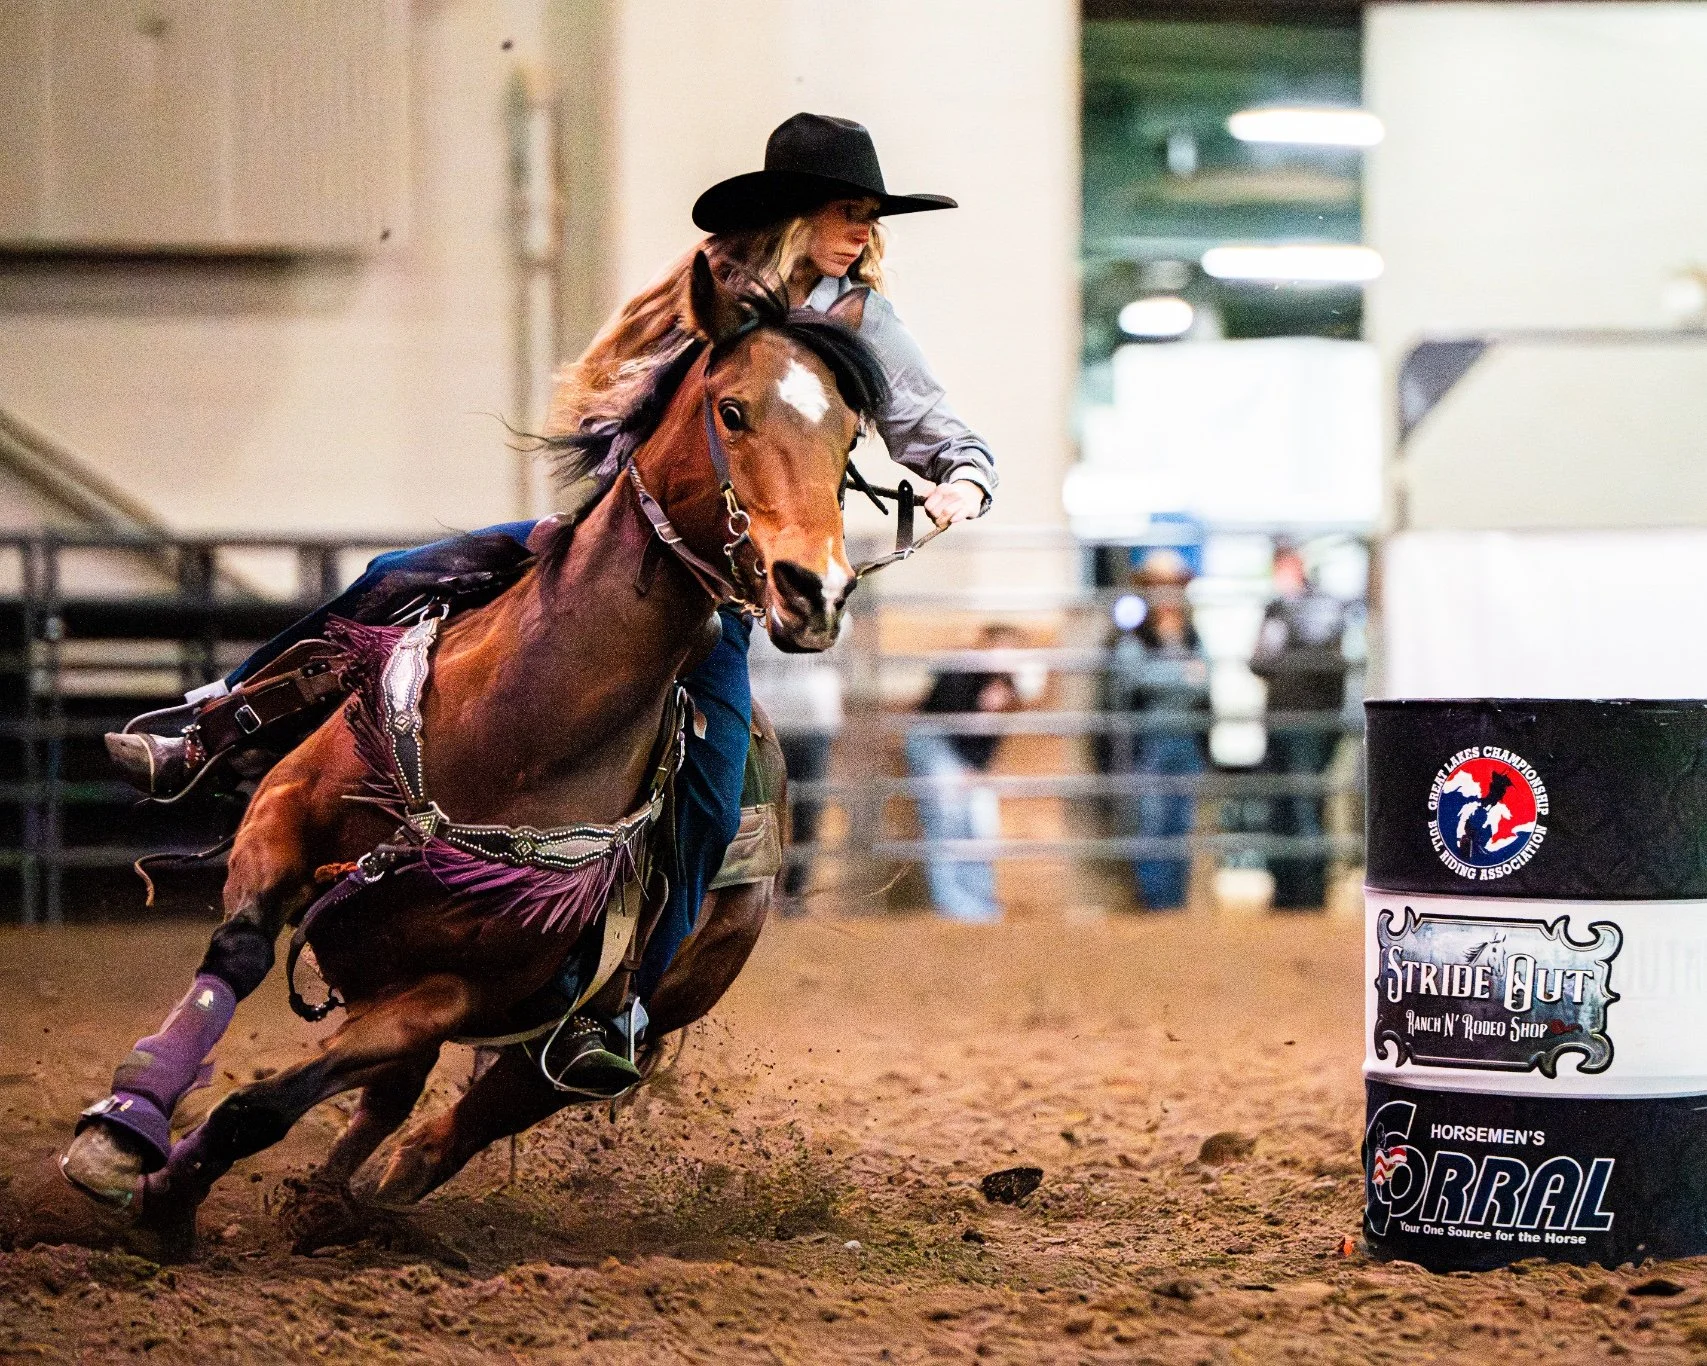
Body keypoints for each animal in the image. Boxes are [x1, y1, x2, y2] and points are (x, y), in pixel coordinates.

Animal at [60, 254, 884, 1256]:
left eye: (848, 436)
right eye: (732, 410)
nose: (817, 590)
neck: (516, 733)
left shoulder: (454, 991)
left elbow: (266, 1106)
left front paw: (170, 1201)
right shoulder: (284, 815)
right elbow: (240, 952)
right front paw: (122, 1137)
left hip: (618, 1015)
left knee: (470, 1111)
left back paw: (368, 1193)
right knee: (388, 1095)